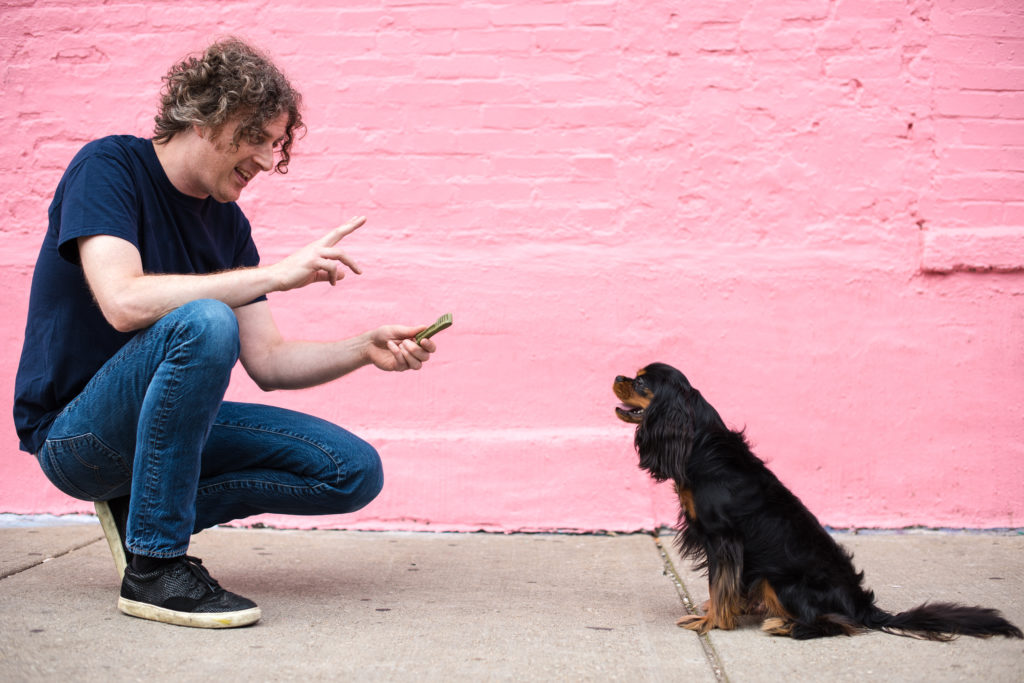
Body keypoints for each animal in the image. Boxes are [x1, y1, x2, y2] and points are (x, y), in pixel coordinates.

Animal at [610, 362, 1019, 643]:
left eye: (642, 382)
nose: (618, 376)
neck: (696, 440)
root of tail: (863, 605)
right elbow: (729, 586)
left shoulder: (723, 539)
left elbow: (720, 584)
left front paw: (711, 623)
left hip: (780, 580)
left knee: (839, 624)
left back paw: (786, 625)